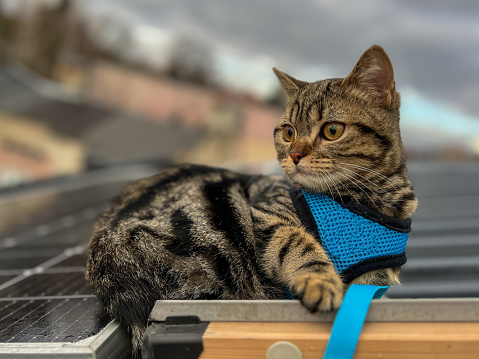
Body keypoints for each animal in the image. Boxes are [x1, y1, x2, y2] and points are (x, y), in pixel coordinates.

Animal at [87, 45, 420, 358]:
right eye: (288, 133)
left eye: (332, 130)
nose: (294, 155)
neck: (366, 202)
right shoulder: (266, 213)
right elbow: (297, 243)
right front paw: (320, 281)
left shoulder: (374, 280)